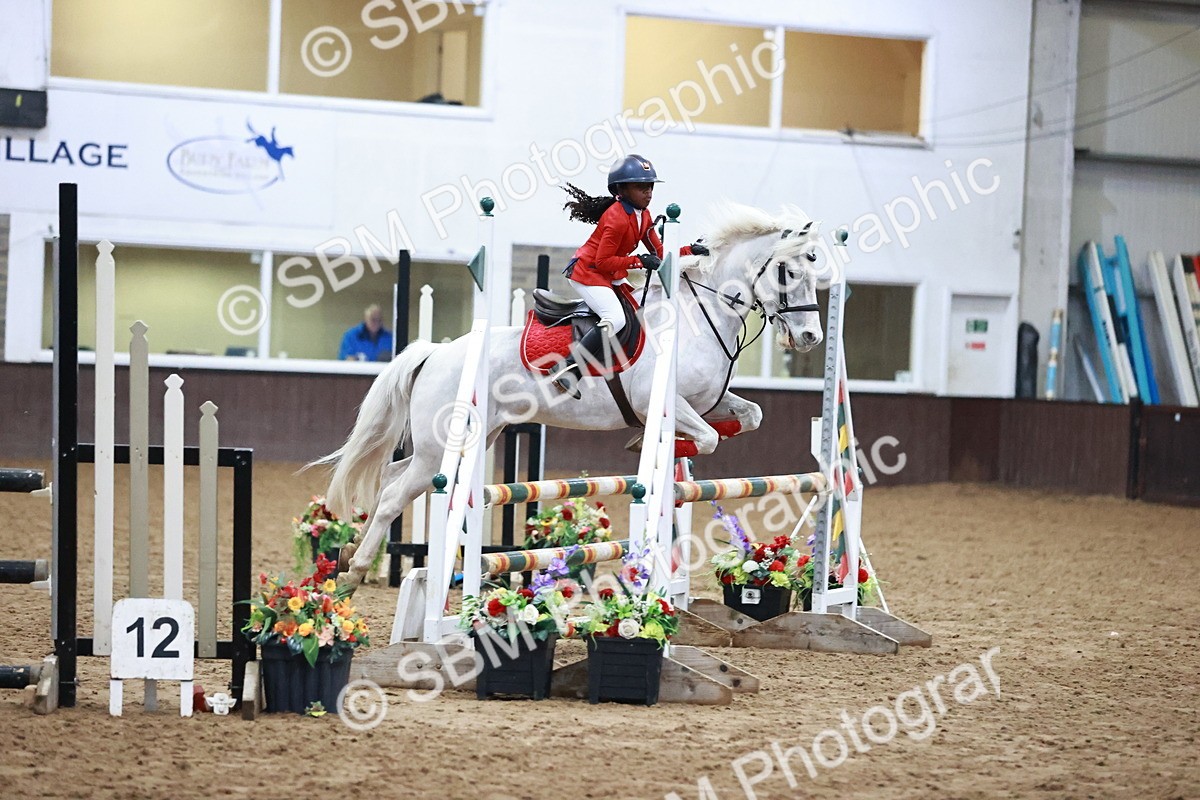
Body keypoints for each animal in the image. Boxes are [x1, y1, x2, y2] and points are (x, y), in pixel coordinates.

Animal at [316, 202, 827, 588]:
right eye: (787, 271)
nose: (811, 338)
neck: (701, 315)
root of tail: (435, 353)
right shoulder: (661, 403)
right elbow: (706, 438)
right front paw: (652, 448)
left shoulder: (707, 402)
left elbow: (749, 416)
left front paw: (665, 452)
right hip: (440, 448)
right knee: (393, 495)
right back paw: (354, 571)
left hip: (467, 440)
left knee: (393, 477)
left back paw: (349, 553)